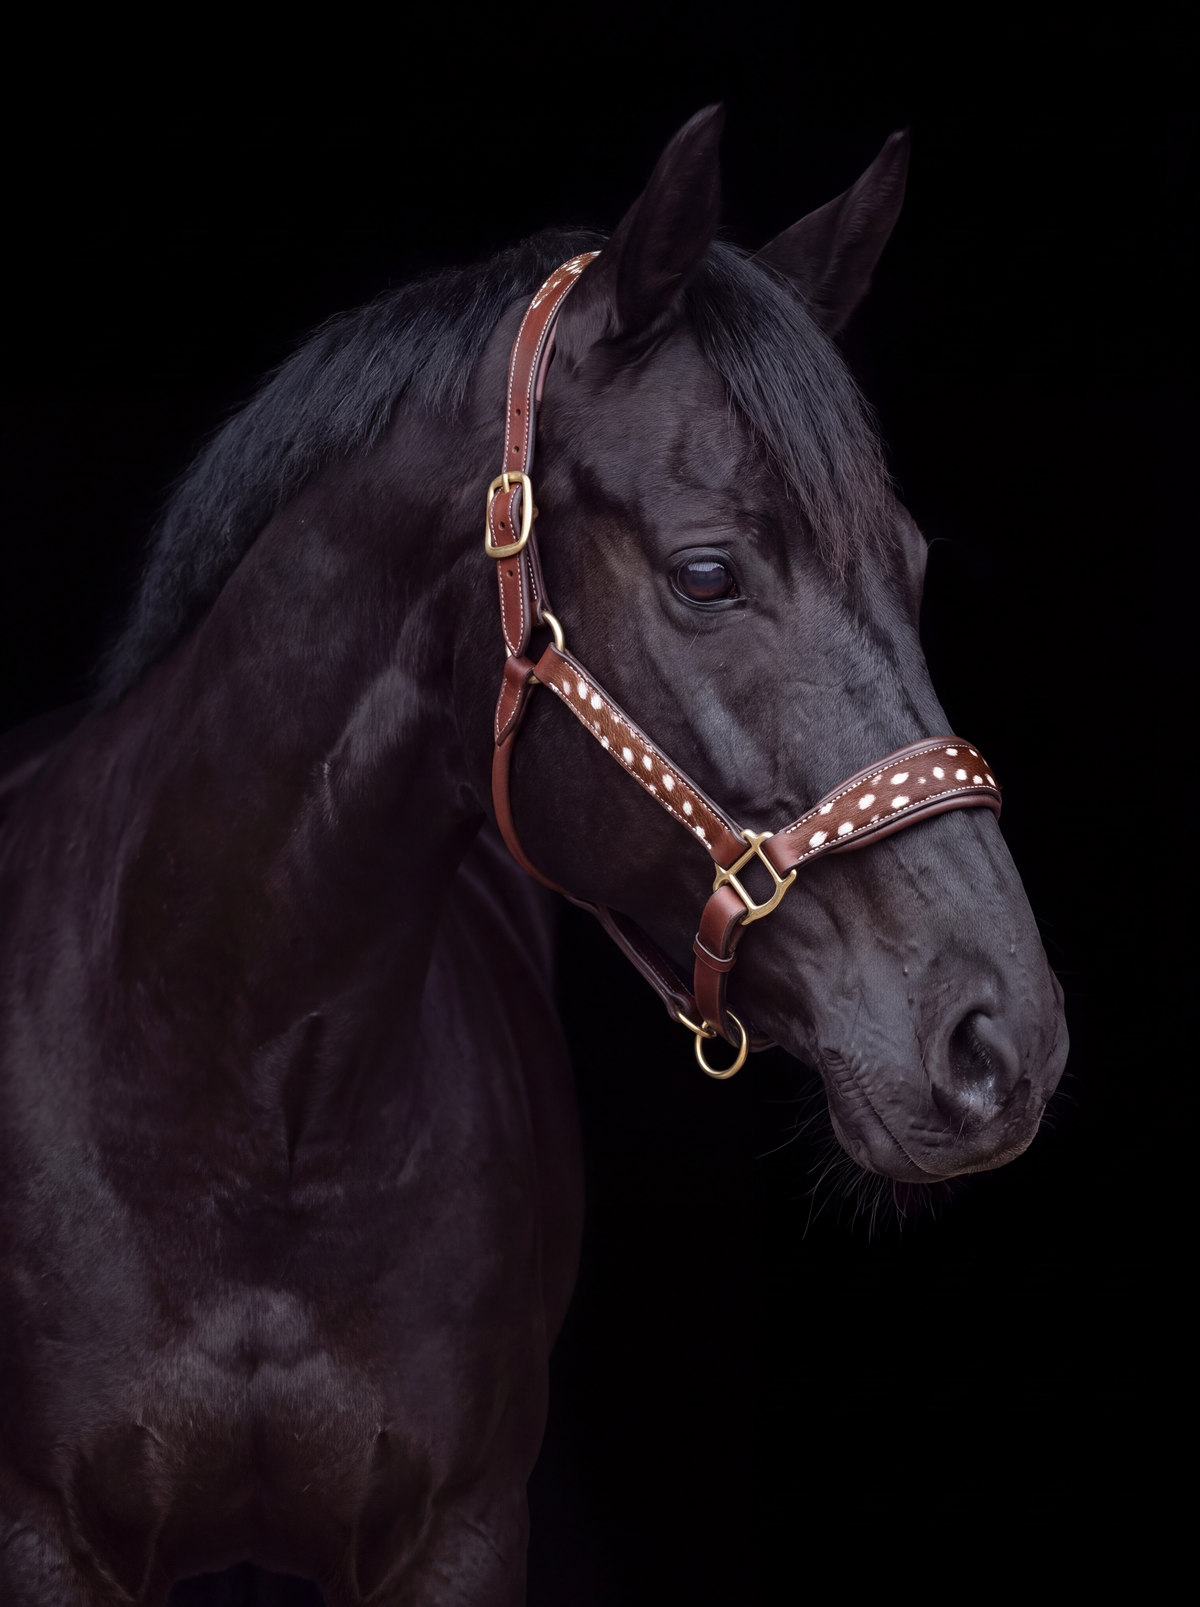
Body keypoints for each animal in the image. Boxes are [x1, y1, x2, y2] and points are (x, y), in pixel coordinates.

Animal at [0, 106, 1067, 1604]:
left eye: (910, 565)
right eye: (706, 573)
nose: (1004, 1040)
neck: (242, 1093)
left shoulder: (462, 1530)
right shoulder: (43, 1529)